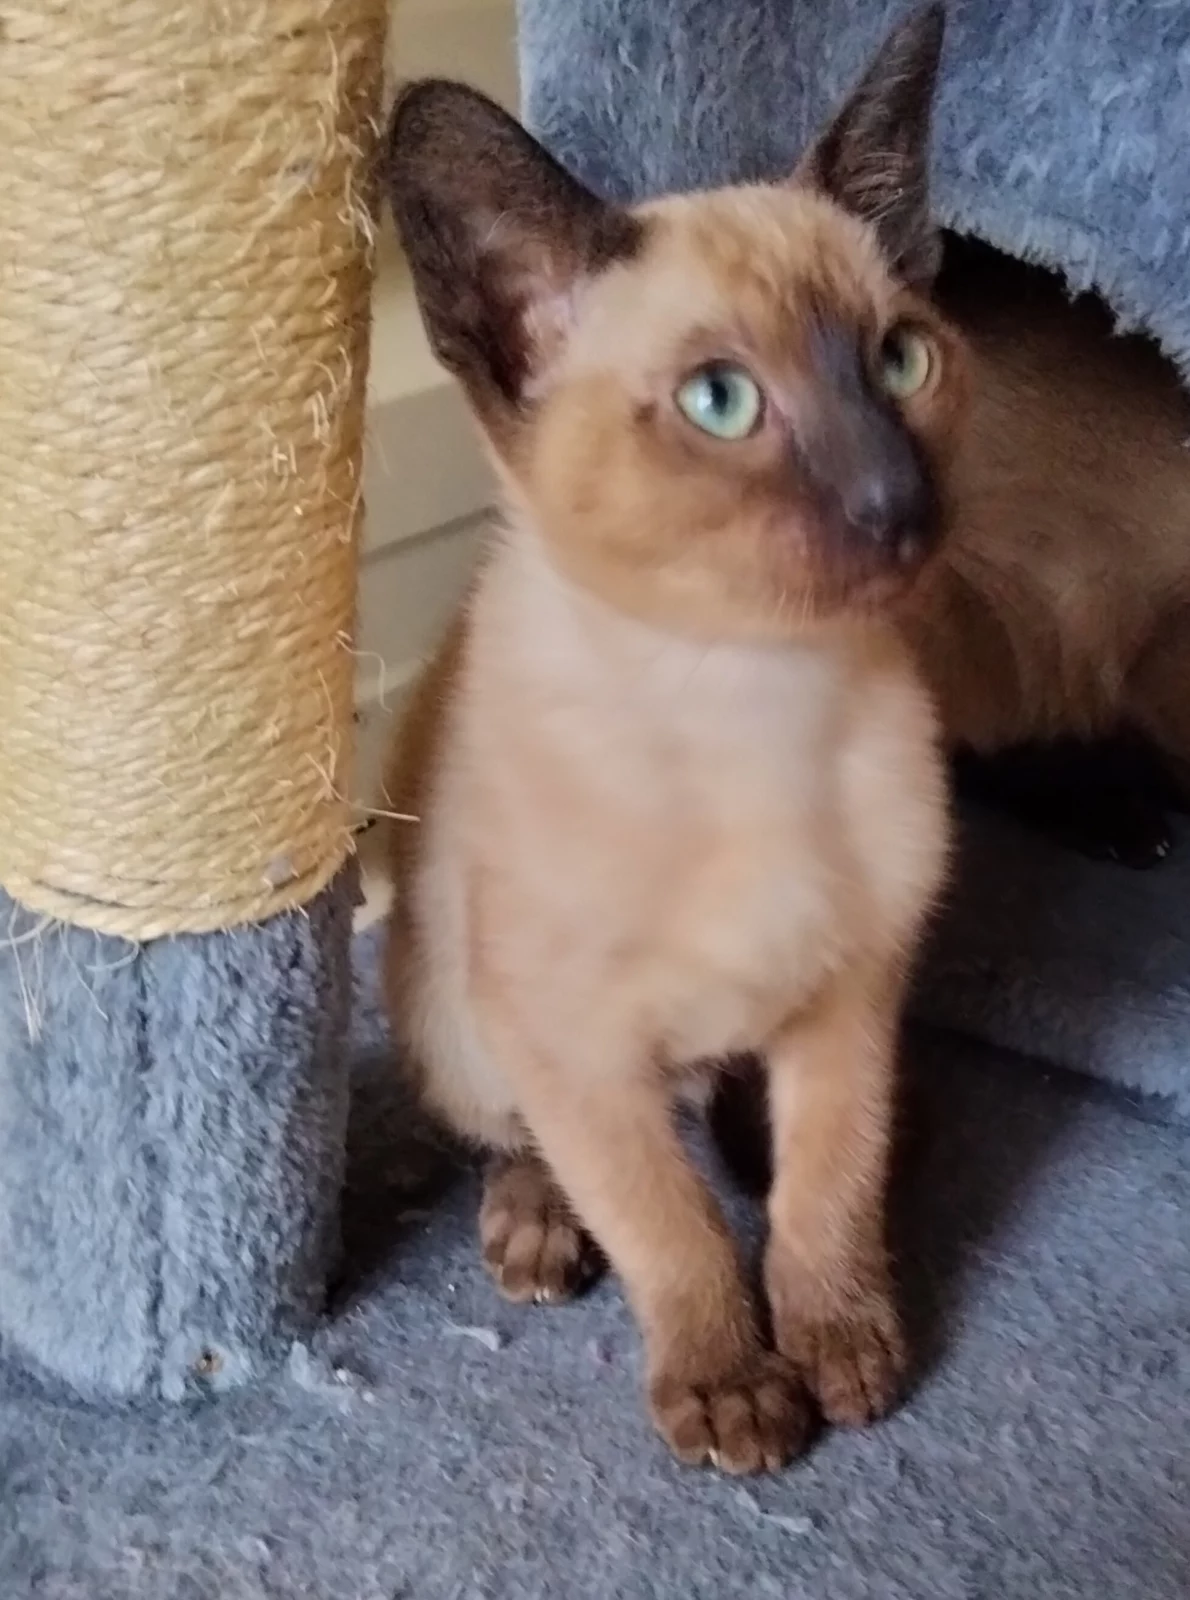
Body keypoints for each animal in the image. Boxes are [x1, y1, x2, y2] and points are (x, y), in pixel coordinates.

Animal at [379, 4, 960, 1475]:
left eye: (900, 362)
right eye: (719, 404)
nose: (899, 503)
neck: (746, 694)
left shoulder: (851, 997)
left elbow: (826, 1185)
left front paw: (838, 1343)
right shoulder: (575, 1046)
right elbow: (668, 1225)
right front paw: (731, 1387)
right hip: (461, 1014)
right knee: (515, 1138)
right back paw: (535, 1226)